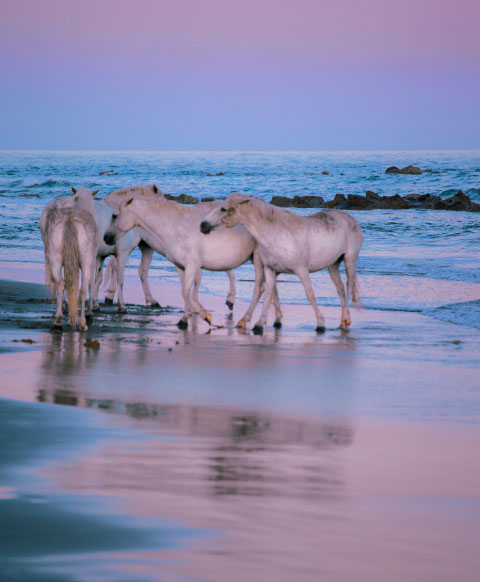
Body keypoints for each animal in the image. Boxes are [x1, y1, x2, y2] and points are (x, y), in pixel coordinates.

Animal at [43, 205, 99, 334]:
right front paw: (89, 313)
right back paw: (82, 324)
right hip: (86, 262)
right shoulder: (92, 262)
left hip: (55, 261)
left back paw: (58, 322)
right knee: (83, 289)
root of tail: (70, 219)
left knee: (61, 284)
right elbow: (91, 286)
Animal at [103, 198, 280, 330]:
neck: (174, 227)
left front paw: (202, 315)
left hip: (258, 261)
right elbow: (185, 291)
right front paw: (188, 317)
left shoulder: (192, 265)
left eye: (114, 216)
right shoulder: (181, 266)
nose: (106, 238)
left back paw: (247, 320)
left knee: (260, 289)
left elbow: (187, 291)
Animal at [198, 195, 360, 336]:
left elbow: (310, 295)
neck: (278, 234)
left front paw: (320, 324)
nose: (203, 225)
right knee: (340, 289)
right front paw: (259, 324)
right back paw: (344, 319)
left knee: (349, 284)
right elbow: (268, 295)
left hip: (349, 260)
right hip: (333, 265)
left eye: (223, 209)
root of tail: (349, 218)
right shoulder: (270, 270)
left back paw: (345, 320)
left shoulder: (302, 270)